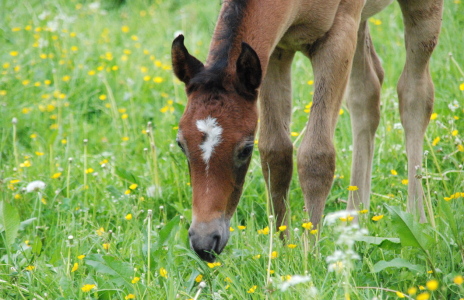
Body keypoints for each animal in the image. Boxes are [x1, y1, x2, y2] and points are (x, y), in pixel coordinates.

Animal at [170, 0, 442, 262]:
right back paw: (355, 225)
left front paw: (309, 253)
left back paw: (417, 221)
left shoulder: (339, 36)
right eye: (181, 144)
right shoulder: (276, 50)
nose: (204, 242)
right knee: (366, 92)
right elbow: (275, 153)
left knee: (414, 94)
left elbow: (316, 155)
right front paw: (283, 249)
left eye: (245, 149)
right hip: (360, 22)